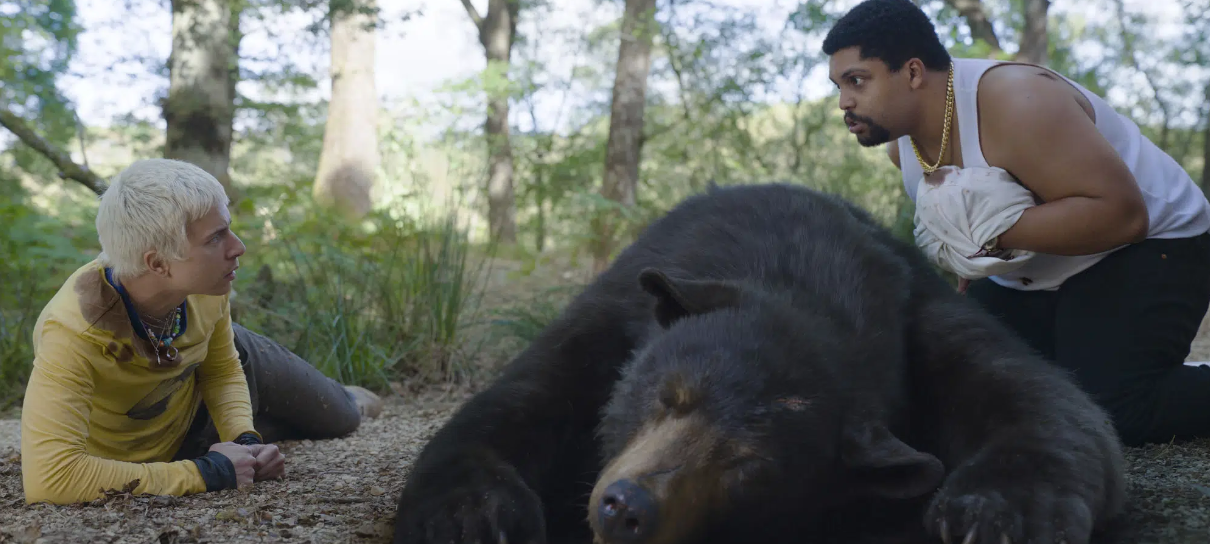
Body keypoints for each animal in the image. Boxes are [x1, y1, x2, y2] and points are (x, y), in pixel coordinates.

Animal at [394, 182, 1122, 544]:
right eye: (668, 396)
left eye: (748, 466)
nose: (627, 509)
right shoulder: (619, 305)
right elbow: (521, 398)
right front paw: (474, 515)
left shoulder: (920, 311)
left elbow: (1044, 401)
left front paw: (1000, 512)